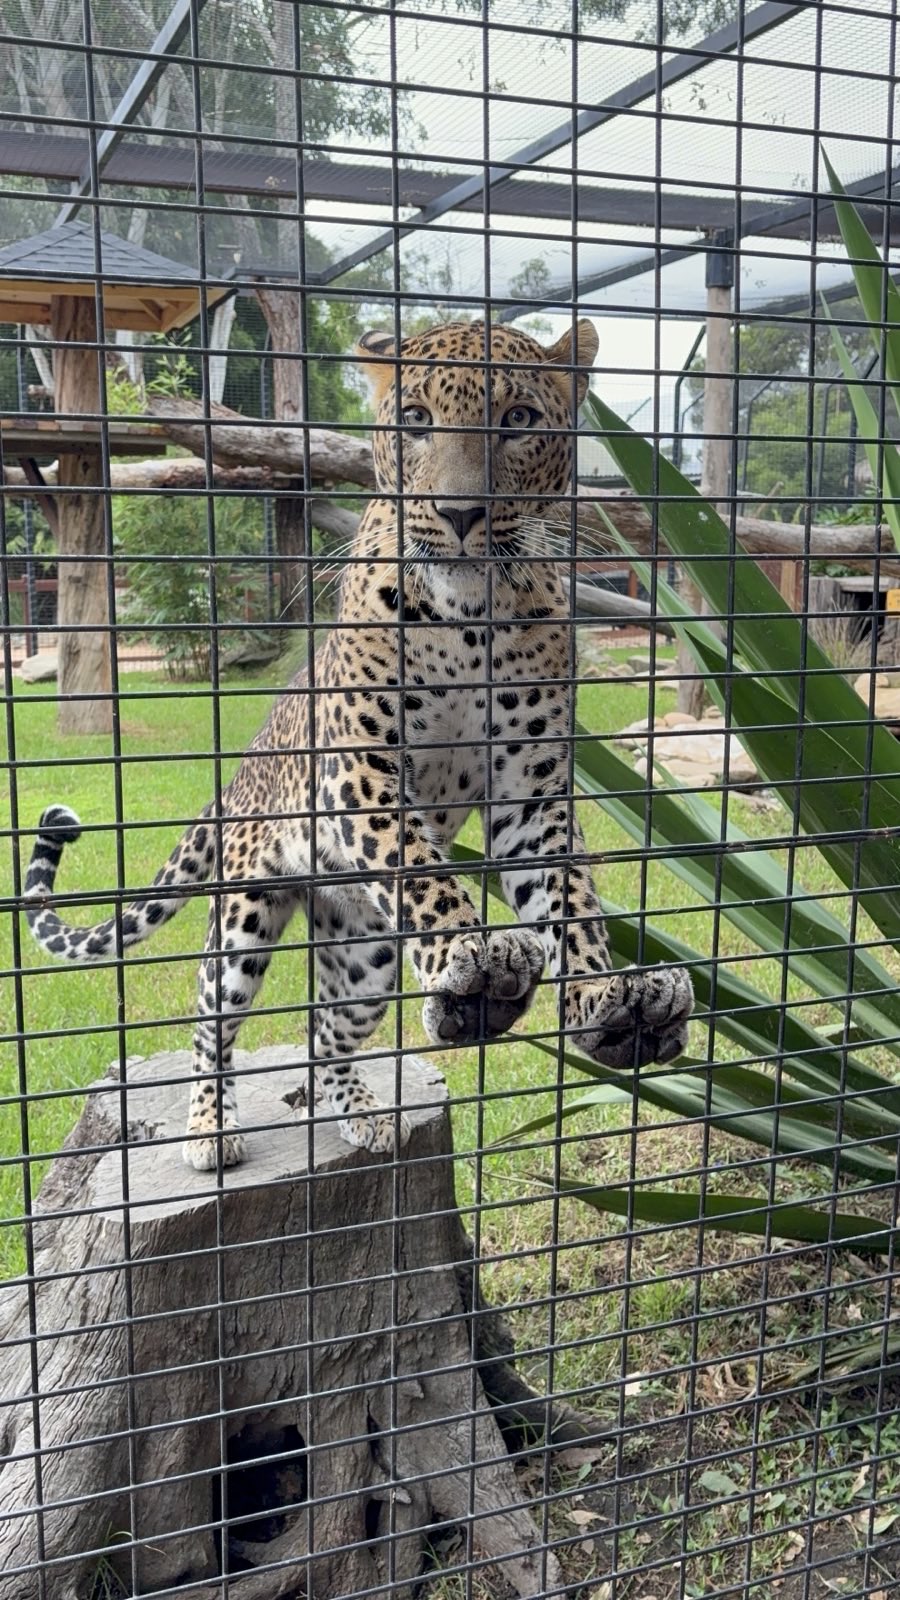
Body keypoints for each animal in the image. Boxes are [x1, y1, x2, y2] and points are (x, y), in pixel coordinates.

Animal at [24, 318, 694, 1171]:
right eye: (414, 420)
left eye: (517, 422)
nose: (461, 514)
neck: (471, 618)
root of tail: (236, 780)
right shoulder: (360, 772)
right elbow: (423, 870)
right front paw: (475, 948)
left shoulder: (532, 795)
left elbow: (569, 901)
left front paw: (606, 994)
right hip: (243, 916)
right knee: (210, 1021)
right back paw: (210, 1128)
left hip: (366, 952)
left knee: (323, 1035)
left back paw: (365, 1109)